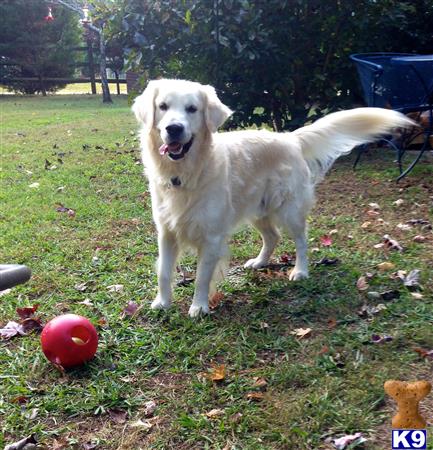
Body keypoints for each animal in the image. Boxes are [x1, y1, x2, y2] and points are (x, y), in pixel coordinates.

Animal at [132, 80, 412, 316]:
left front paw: (199, 307)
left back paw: (300, 270)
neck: (185, 174)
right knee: (272, 236)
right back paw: (259, 262)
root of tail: (290, 137)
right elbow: (164, 272)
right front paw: (162, 303)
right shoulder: (166, 232)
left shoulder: (211, 236)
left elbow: (202, 276)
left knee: (301, 240)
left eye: (192, 109)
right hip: (258, 209)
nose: (173, 128)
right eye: (163, 106)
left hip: (289, 210)